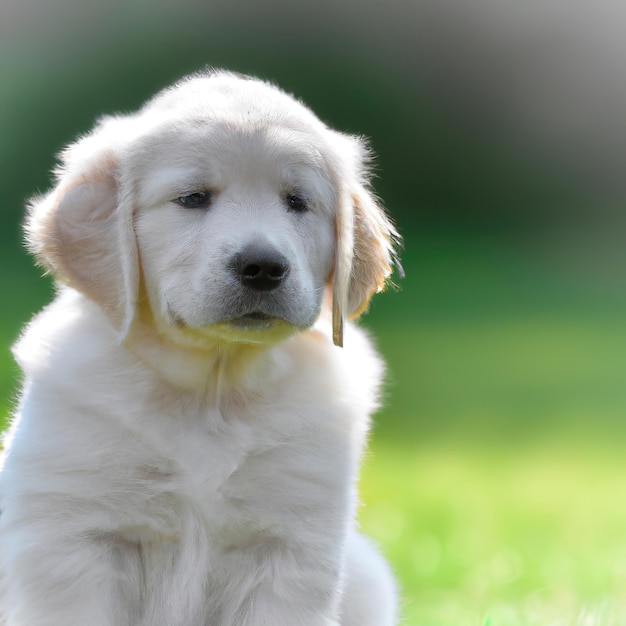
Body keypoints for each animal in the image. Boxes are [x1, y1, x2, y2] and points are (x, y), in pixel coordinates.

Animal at [0, 69, 398, 624]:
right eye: (192, 198)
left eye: (298, 202)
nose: (263, 267)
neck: (213, 388)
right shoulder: (71, 535)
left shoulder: (290, 545)